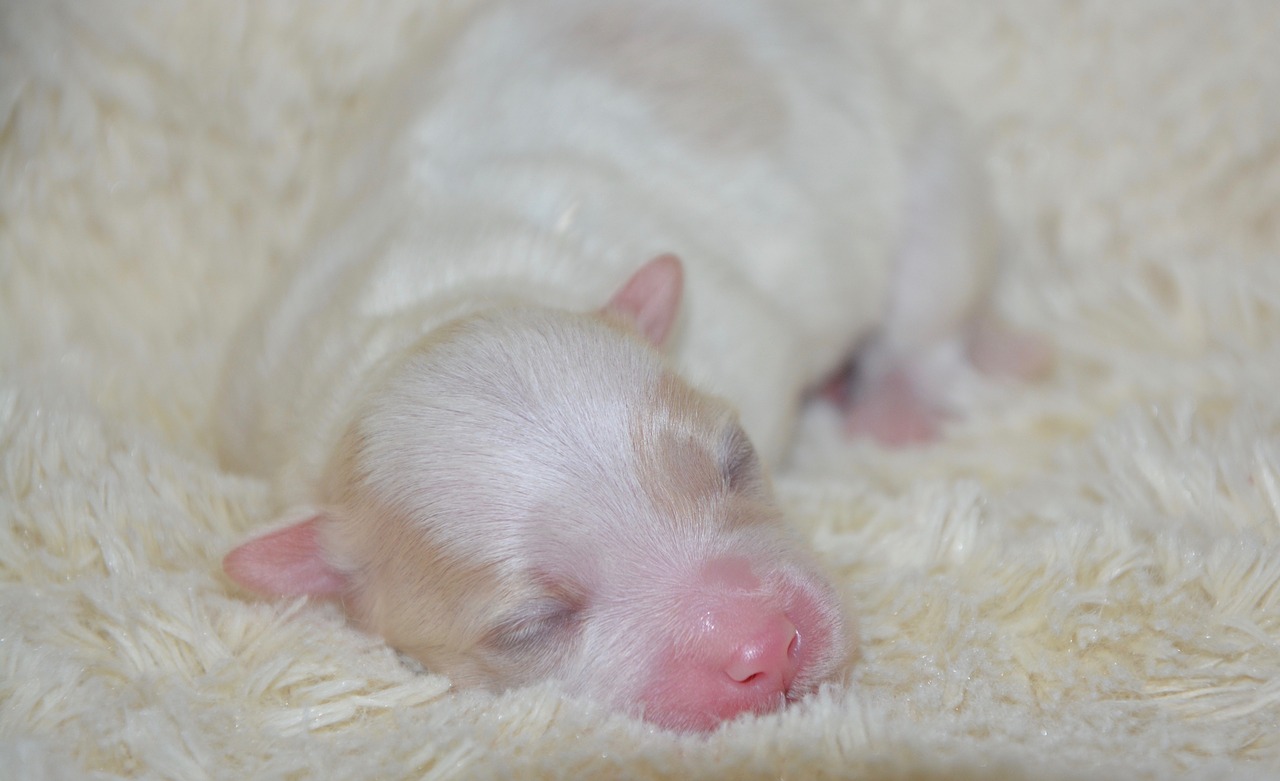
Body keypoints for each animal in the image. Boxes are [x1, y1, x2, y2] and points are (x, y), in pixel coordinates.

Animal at [217, 0, 1039, 727]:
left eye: (736, 461)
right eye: (532, 623)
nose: (766, 646)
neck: (441, 309)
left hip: (931, 174)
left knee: (929, 313)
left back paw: (896, 404)